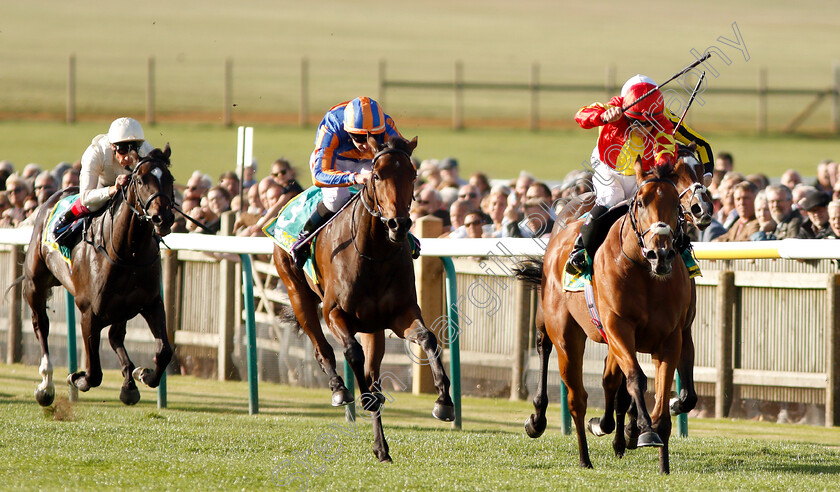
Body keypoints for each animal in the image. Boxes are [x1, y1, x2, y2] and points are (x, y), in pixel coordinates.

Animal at [21, 145, 176, 408]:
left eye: (170, 179)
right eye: (140, 179)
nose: (162, 218)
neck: (128, 252)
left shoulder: (151, 303)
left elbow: (164, 350)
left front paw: (144, 374)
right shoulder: (89, 313)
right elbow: (94, 373)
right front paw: (77, 377)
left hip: (122, 307)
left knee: (115, 336)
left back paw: (129, 383)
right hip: (35, 284)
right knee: (41, 325)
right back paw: (46, 386)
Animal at [272, 134, 456, 462]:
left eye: (413, 175)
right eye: (377, 175)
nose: (399, 224)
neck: (374, 255)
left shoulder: (401, 314)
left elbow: (428, 338)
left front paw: (443, 401)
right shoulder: (335, 313)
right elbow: (352, 354)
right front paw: (361, 397)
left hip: (374, 329)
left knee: (373, 370)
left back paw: (381, 447)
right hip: (298, 293)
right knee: (322, 349)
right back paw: (339, 389)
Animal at [520, 158, 692, 472]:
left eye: (676, 204)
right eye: (640, 202)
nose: (660, 254)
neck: (644, 273)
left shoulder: (671, 339)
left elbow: (660, 403)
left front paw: (662, 463)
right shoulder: (618, 328)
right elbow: (635, 378)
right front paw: (642, 431)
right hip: (565, 335)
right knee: (575, 395)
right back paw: (580, 454)